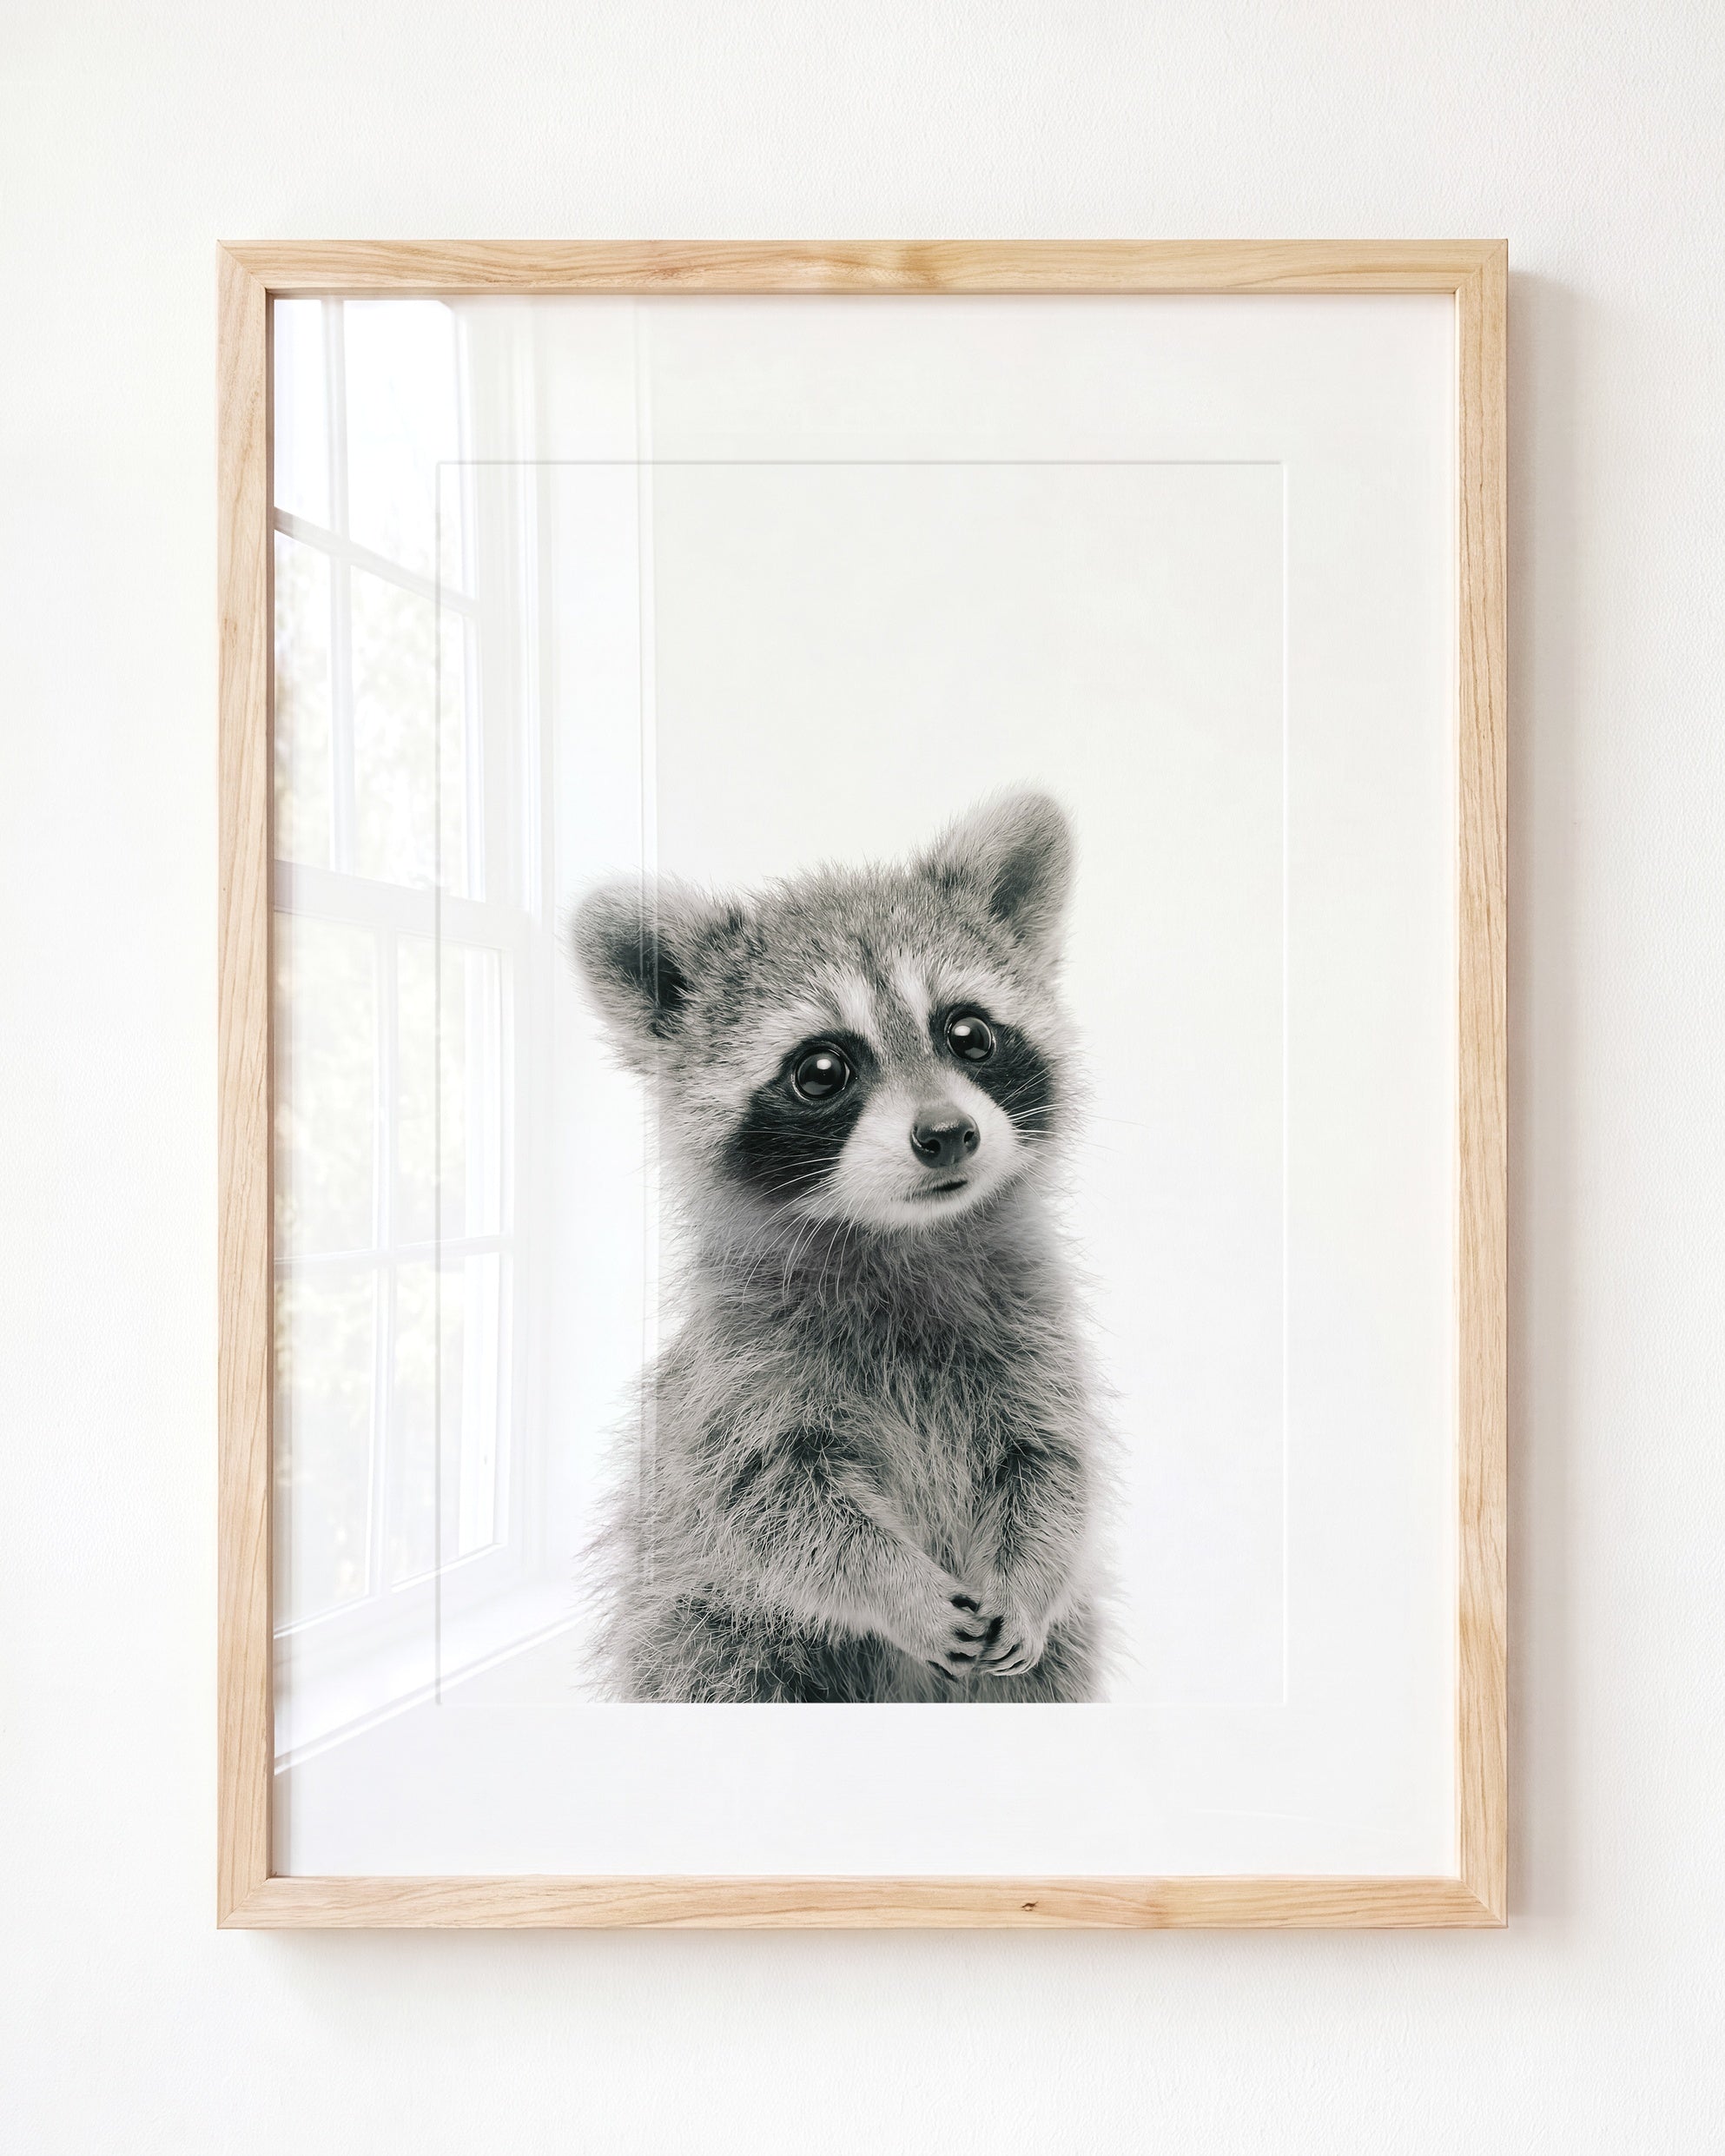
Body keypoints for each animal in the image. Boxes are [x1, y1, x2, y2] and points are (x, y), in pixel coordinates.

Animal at [569, 791, 1106, 1703]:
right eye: (821, 1070)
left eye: (969, 1034)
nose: (947, 1134)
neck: (901, 1237)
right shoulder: (738, 1377)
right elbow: (776, 1507)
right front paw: (899, 1589)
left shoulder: (1036, 1337)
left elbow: (1052, 1466)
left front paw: (1029, 1579)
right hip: (708, 1633)